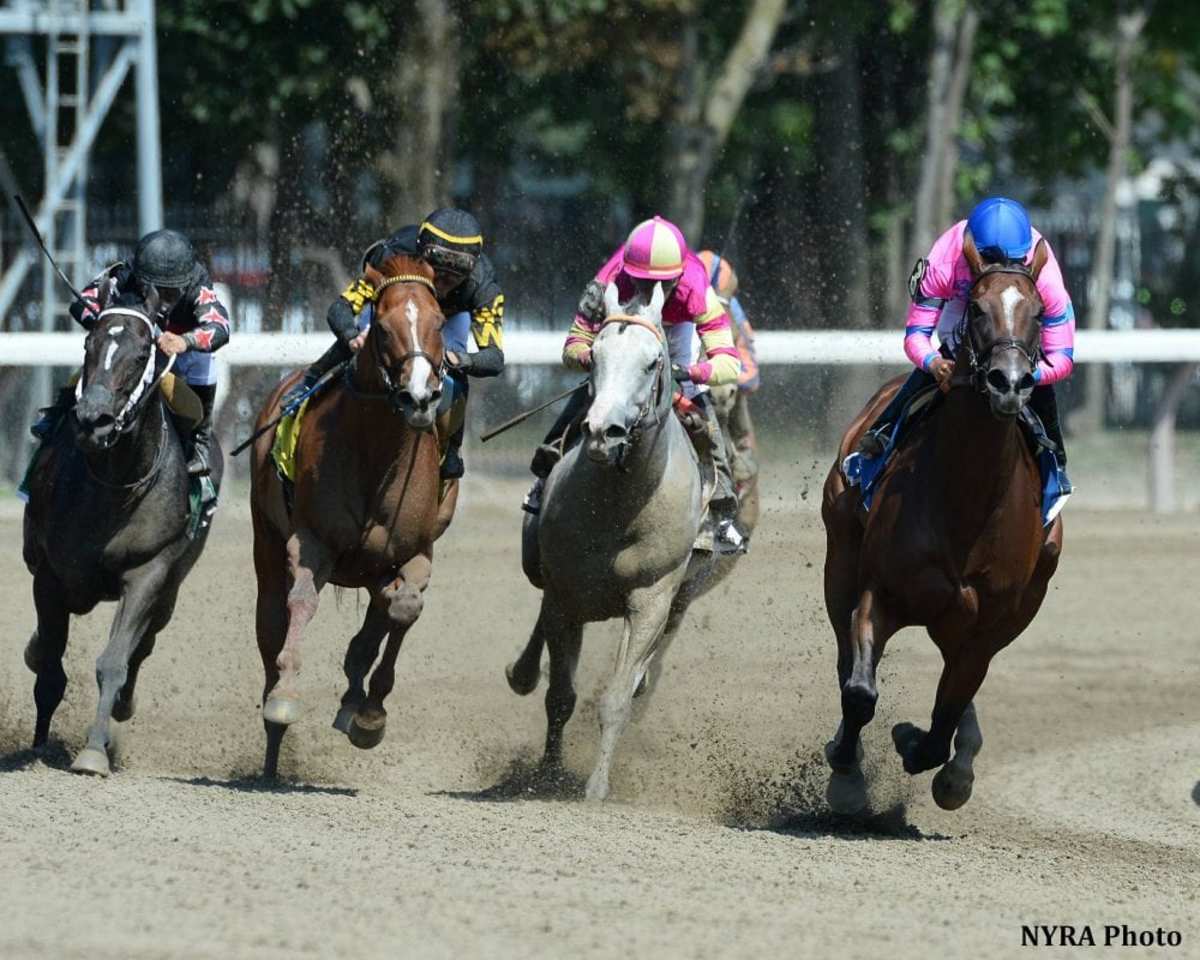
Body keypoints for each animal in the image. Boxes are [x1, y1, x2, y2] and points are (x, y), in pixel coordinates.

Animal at [21, 287, 223, 776]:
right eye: (87, 346)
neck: (114, 484)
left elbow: (114, 662)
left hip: (171, 588)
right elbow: (51, 662)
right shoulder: (50, 574)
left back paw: (123, 706)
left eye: (142, 353)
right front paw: (38, 747)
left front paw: (94, 751)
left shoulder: (148, 573)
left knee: (143, 646)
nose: (93, 419)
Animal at [249, 254, 449, 778]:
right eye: (381, 326)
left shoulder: (415, 551)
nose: (419, 398)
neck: (376, 455)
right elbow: (301, 603)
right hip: (265, 538)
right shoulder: (311, 541)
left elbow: (403, 607)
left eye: (441, 321)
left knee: (382, 609)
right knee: (270, 621)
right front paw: (284, 697)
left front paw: (370, 715)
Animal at [507, 282, 743, 800]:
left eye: (654, 362)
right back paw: (521, 672)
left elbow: (615, 697)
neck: (616, 507)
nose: (603, 432)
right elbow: (560, 695)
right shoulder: (565, 597)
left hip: (683, 597)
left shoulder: (652, 601)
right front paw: (548, 775)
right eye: (595, 355)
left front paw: (596, 787)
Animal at [821, 233, 1063, 814]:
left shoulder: (984, 626)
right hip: (839, 558)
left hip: (1008, 608)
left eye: (1039, 312)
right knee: (844, 657)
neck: (968, 502)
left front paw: (929, 754)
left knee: (958, 690)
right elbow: (860, 691)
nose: (1010, 383)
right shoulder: (881, 592)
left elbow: (946, 714)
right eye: (975, 308)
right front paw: (846, 771)